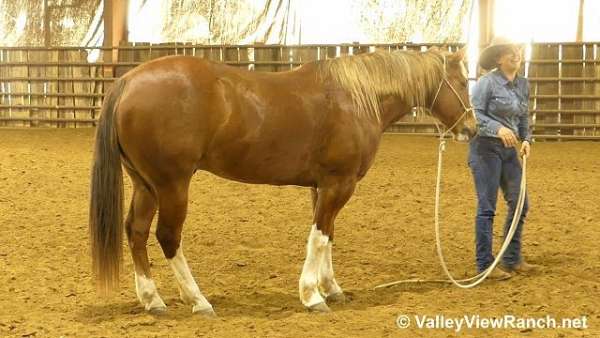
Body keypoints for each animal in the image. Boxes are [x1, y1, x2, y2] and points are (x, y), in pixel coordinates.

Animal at [89, 46, 476, 316]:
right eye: (460, 82)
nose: (472, 128)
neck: (356, 97)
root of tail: (128, 81)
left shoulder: (322, 187)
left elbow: (327, 236)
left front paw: (331, 288)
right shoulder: (339, 184)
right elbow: (318, 238)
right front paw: (312, 296)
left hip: (146, 185)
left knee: (137, 231)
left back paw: (152, 300)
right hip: (172, 185)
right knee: (168, 236)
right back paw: (198, 300)